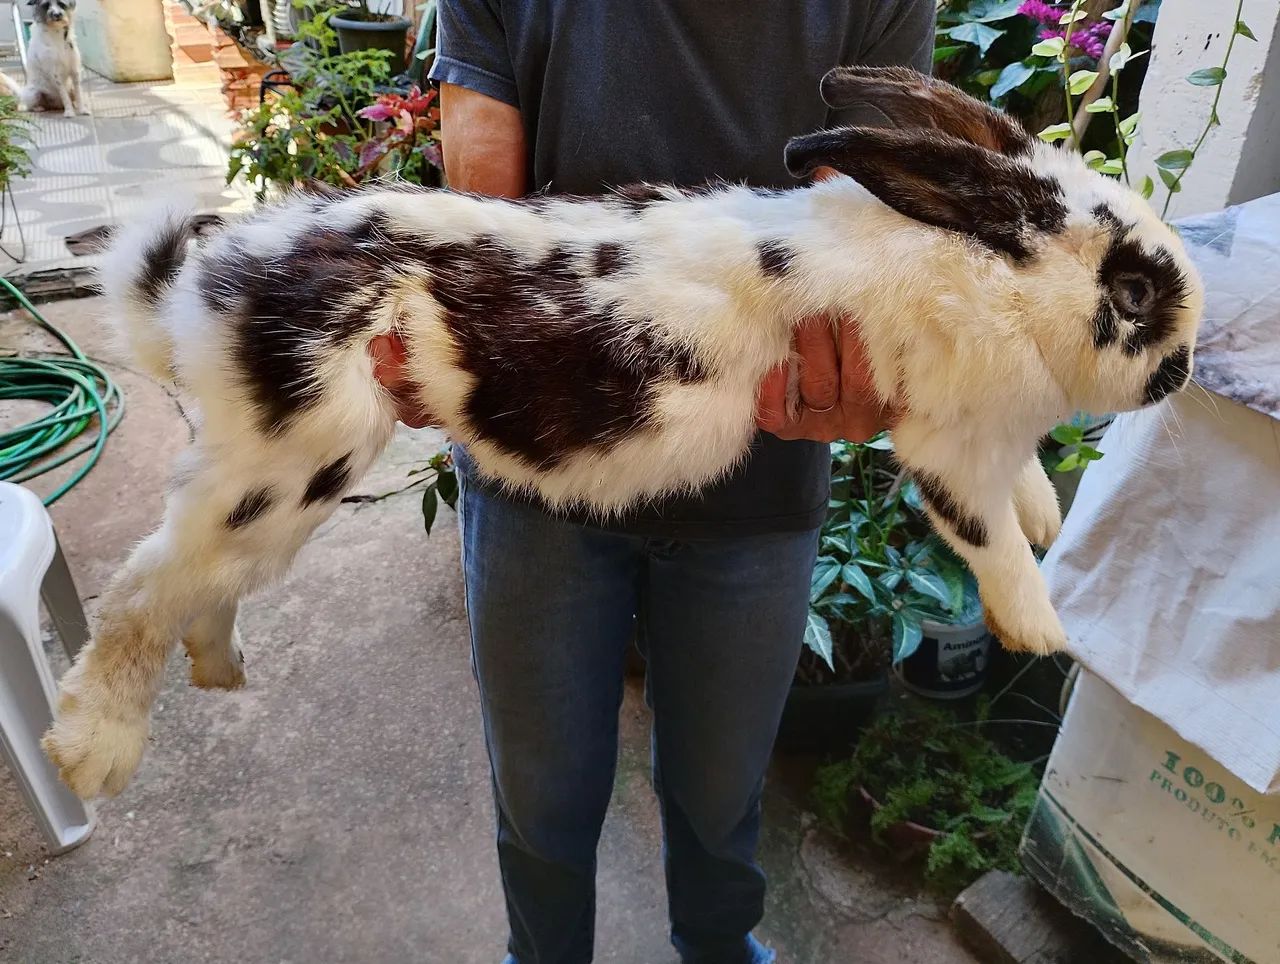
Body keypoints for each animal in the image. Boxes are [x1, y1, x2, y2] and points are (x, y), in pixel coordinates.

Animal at [44, 66, 1203, 800]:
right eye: (1134, 290)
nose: (1181, 371)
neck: (980, 266)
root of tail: (211, 282)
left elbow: (1021, 497)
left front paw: (1049, 514)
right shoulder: (945, 447)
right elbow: (986, 540)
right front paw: (1043, 632)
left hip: (269, 477)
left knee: (198, 579)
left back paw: (218, 668)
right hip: (291, 459)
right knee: (144, 587)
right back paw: (90, 754)